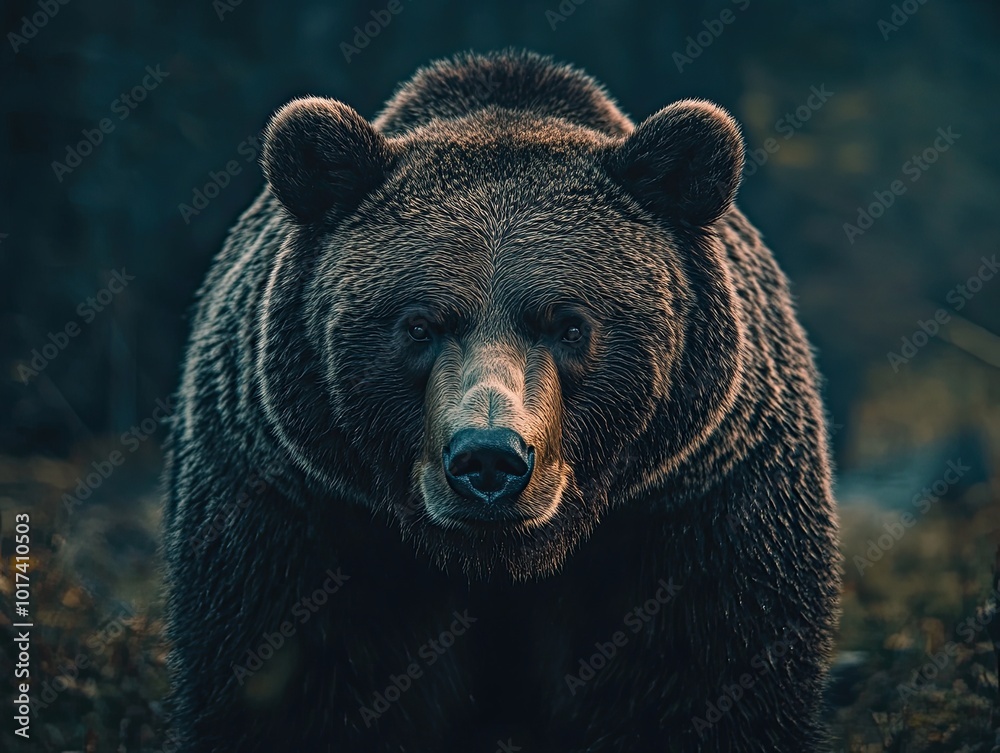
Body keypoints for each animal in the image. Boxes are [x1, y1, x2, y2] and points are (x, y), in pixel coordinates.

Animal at [162, 49, 839, 753]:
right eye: (420, 325)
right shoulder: (298, 506)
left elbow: (706, 681)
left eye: (569, 324)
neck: (500, 563)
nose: (489, 458)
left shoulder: (696, 505)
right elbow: (290, 686)